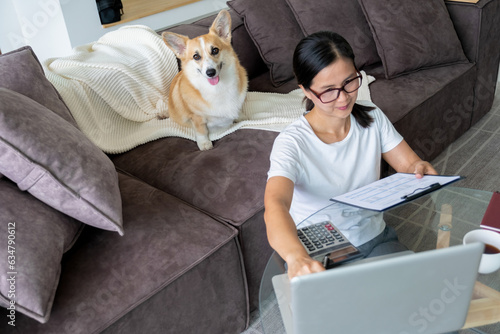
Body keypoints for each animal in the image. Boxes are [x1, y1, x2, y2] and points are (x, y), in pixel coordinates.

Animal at [158, 9, 248, 150]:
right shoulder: (196, 118)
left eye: (215, 50)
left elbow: (239, 114)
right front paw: (205, 144)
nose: (210, 72)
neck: (218, 88)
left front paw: (243, 118)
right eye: (196, 56)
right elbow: (202, 131)